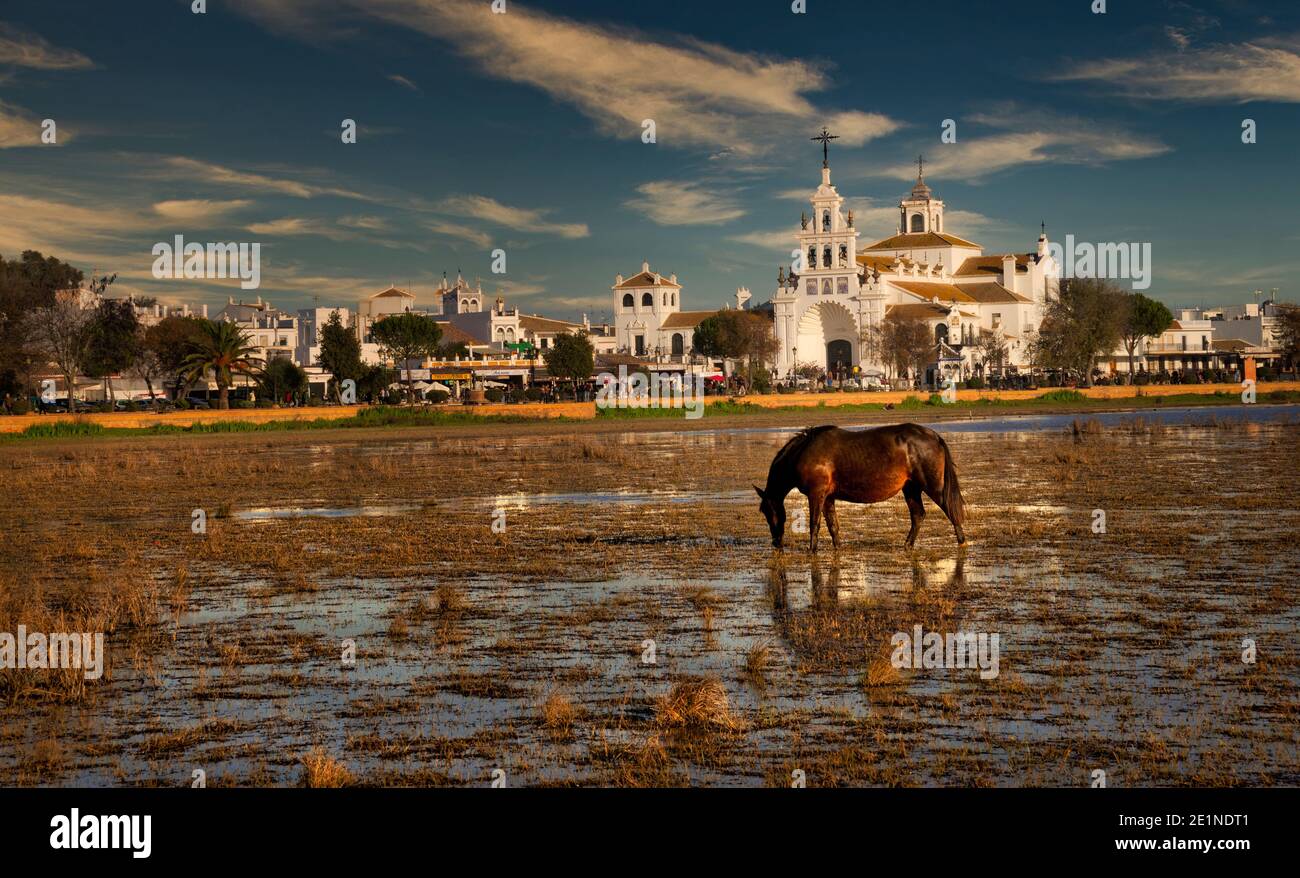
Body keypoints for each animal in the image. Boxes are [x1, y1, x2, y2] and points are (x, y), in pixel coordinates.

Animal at [754, 424, 967, 554]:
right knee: (918, 516)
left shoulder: (816, 494)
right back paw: (908, 545)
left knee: (950, 510)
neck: (804, 452)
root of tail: (933, 435)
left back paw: (961, 541)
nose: (776, 543)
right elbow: (833, 526)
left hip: (933, 486)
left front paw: (812, 550)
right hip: (911, 488)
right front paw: (837, 547)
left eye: (766, 511)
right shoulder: (828, 497)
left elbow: (815, 524)